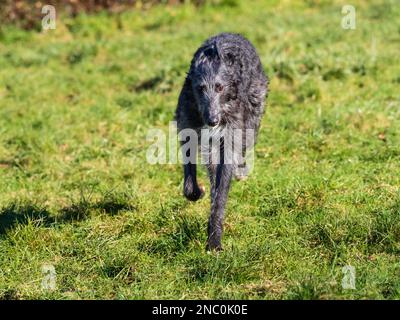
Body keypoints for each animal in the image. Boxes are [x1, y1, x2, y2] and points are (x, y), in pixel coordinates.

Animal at [175, 32, 268, 251]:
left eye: (219, 87)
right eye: (200, 88)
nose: (212, 121)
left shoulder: (230, 133)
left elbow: (221, 191)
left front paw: (214, 240)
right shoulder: (188, 124)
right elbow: (190, 180)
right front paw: (197, 191)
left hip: (254, 111)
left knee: (244, 145)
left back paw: (241, 170)